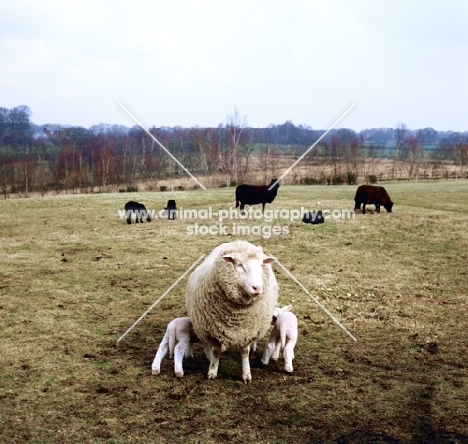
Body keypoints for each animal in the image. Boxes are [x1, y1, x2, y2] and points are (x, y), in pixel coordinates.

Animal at [185, 241, 278, 384]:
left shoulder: (248, 331)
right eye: (239, 265)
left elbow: (245, 352)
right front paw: (212, 371)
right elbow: (216, 352)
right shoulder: (214, 332)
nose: (257, 288)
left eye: (261, 265)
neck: (236, 318)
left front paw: (246, 374)